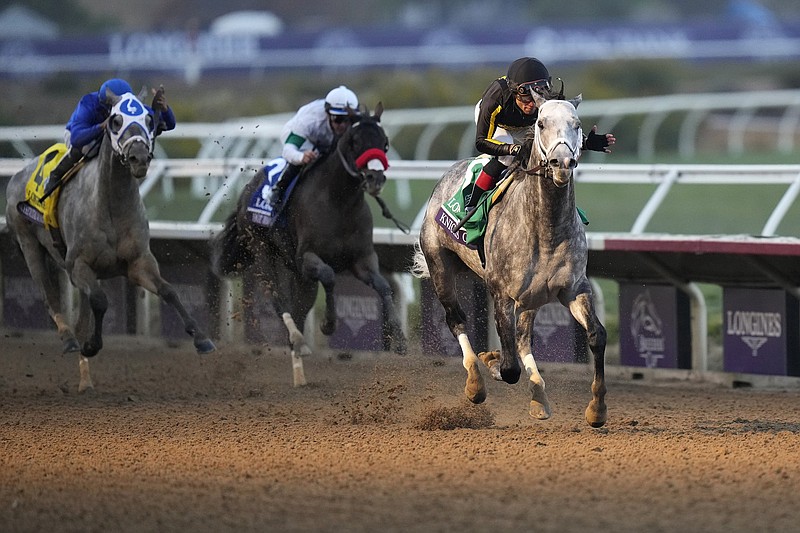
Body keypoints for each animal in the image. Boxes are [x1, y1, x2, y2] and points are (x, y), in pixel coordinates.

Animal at [5, 89, 216, 392]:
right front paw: (92, 345)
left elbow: (168, 291)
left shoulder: (139, 263)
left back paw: (84, 377)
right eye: (116, 120)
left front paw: (201, 338)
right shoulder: (79, 264)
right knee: (49, 296)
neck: (112, 205)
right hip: (28, 243)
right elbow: (101, 300)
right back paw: (70, 340)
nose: (139, 157)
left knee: (80, 312)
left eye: (150, 119)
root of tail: (17, 176)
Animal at [211, 102, 406, 384]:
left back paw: (299, 366)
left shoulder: (362, 260)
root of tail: (246, 191)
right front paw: (328, 324)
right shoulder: (306, 259)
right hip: (263, 252)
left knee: (300, 309)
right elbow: (329, 276)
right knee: (279, 301)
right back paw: (297, 340)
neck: (339, 202)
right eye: (354, 141)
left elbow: (383, 286)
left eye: (385, 142)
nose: (374, 178)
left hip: (299, 277)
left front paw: (399, 338)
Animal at [412, 93, 608, 428]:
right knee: (456, 319)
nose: (562, 163)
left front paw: (597, 408)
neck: (545, 227)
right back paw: (476, 382)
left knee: (523, 339)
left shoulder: (574, 288)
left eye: (578, 125)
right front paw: (491, 361)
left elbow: (597, 335)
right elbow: (509, 369)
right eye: (541, 123)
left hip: (531, 298)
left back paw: (539, 397)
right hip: (440, 265)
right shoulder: (501, 293)